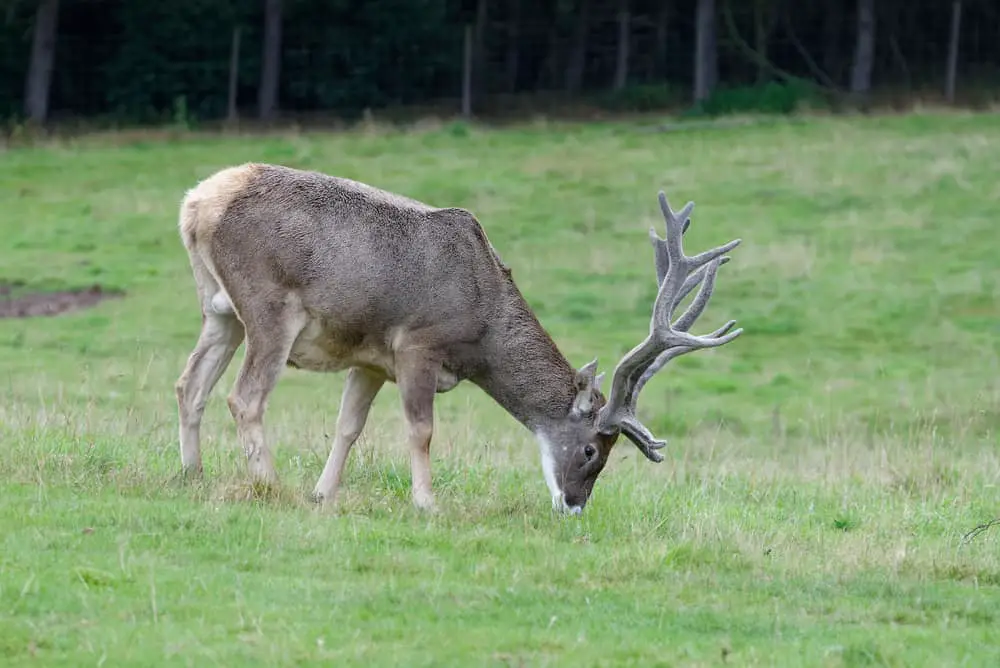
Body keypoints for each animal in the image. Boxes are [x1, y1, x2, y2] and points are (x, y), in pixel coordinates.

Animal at [174, 164, 744, 516]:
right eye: (590, 450)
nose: (574, 506)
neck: (482, 327)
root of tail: (196, 203)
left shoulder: (371, 359)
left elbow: (348, 427)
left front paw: (324, 495)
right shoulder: (415, 345)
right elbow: (421, 428)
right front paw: (427, 502)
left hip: (218, 310)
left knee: (190, 384)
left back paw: (193, 475)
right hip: (270, 308)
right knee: (244, 397)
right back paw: (269, 485)